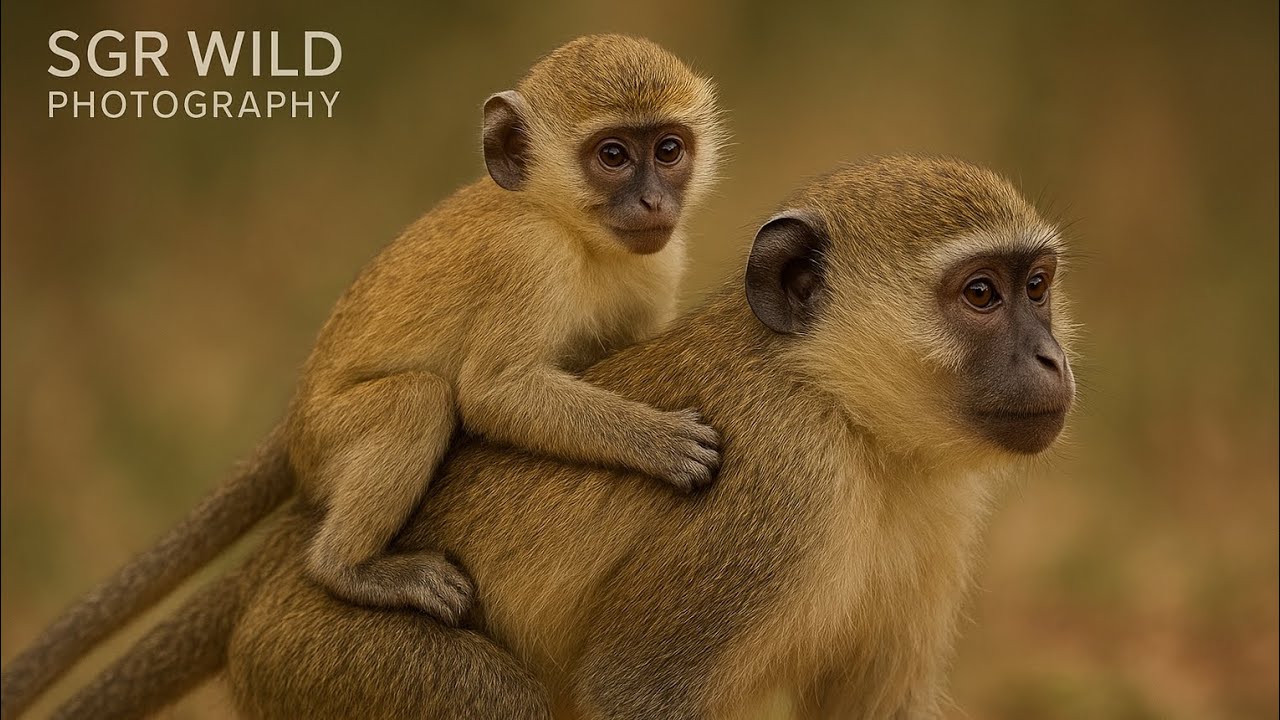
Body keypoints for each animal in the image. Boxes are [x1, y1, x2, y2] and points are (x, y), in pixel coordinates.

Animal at [0, 34, 727, 719]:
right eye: (613, 156)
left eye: (668, 149)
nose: (653, 201)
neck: (571, 229)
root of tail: (298, 418)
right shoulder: (528, 258)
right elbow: (494, 391)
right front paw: (658, 441)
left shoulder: (660, 259)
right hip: (331, 436)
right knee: (417, 399)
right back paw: (346, 568)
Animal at [39, 155, 1077, 719]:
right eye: (979, 295)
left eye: (1035, 286)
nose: (1052, 359)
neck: (849, 417)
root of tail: (291, 549)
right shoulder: (781, 492)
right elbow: (633, 688)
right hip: (314, 655)